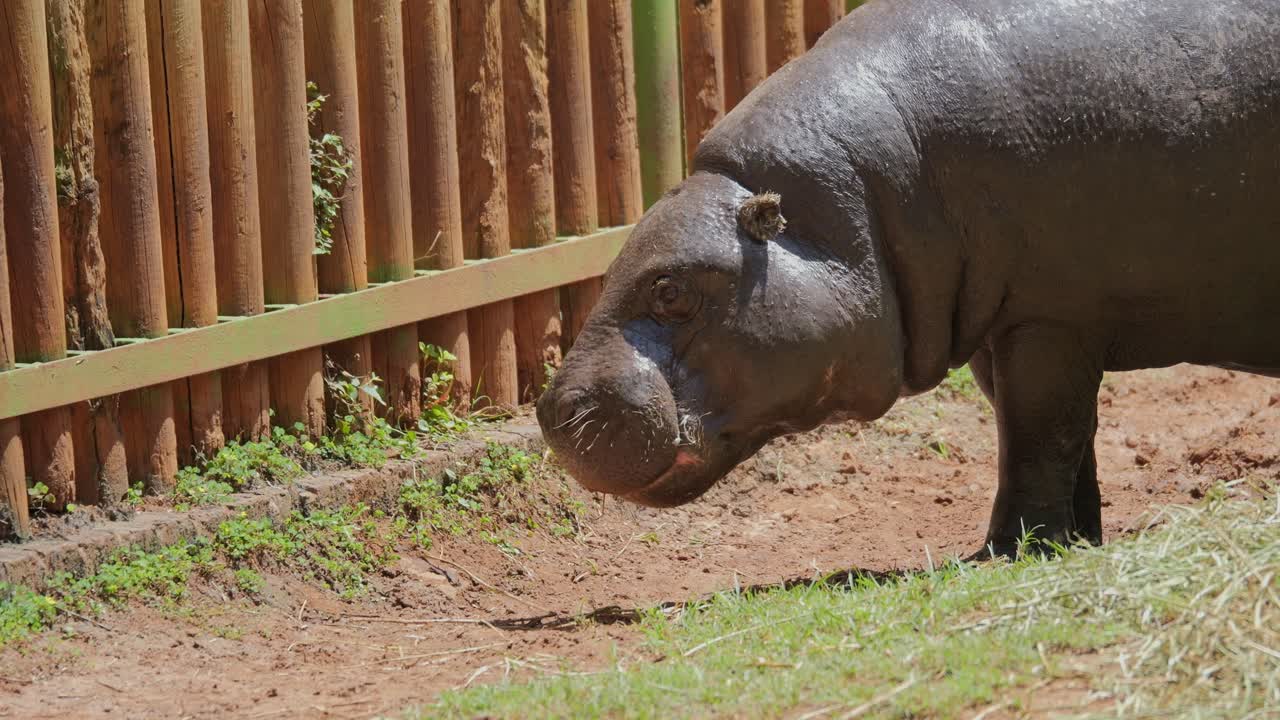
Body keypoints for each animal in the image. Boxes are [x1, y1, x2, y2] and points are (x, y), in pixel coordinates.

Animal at [537, 0, 1280, 556]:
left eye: (671, 289)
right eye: (614, 265)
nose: (551, 410)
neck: (847, 208)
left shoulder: (1050, 318)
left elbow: (1043, 433)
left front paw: (1016, 550)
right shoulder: (1000, 324)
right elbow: (1047, 433)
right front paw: (1073, 541)